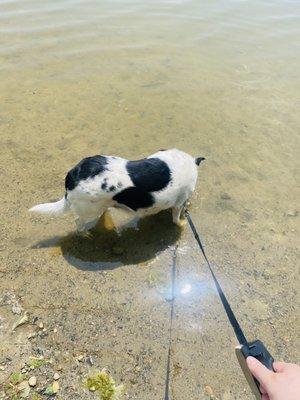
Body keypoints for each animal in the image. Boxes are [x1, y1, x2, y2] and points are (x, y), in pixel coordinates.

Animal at [29, 149, 204, 231]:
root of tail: (72, 176)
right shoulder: (179, 203)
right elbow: (176, 218)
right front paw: (182, 223)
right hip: (89, 211)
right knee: (78, 222)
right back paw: (84, 233)